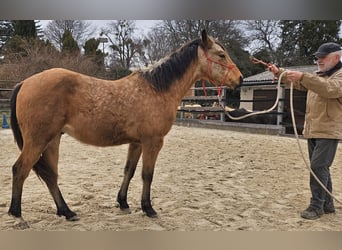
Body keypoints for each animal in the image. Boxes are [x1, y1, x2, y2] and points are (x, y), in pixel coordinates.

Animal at [8, 29, 243, 227]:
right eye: (221, 55)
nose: (239, 79)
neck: (157, 89)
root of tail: (25, 83)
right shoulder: (153, 142)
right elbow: (147, 174)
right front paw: (148, 208)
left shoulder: (137, 143)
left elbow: (128, 171)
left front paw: (123, 203)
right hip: (38, 140)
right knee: (20, 170)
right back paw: (17, 215)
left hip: (52, 140)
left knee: (50, 175)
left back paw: (67, 212)